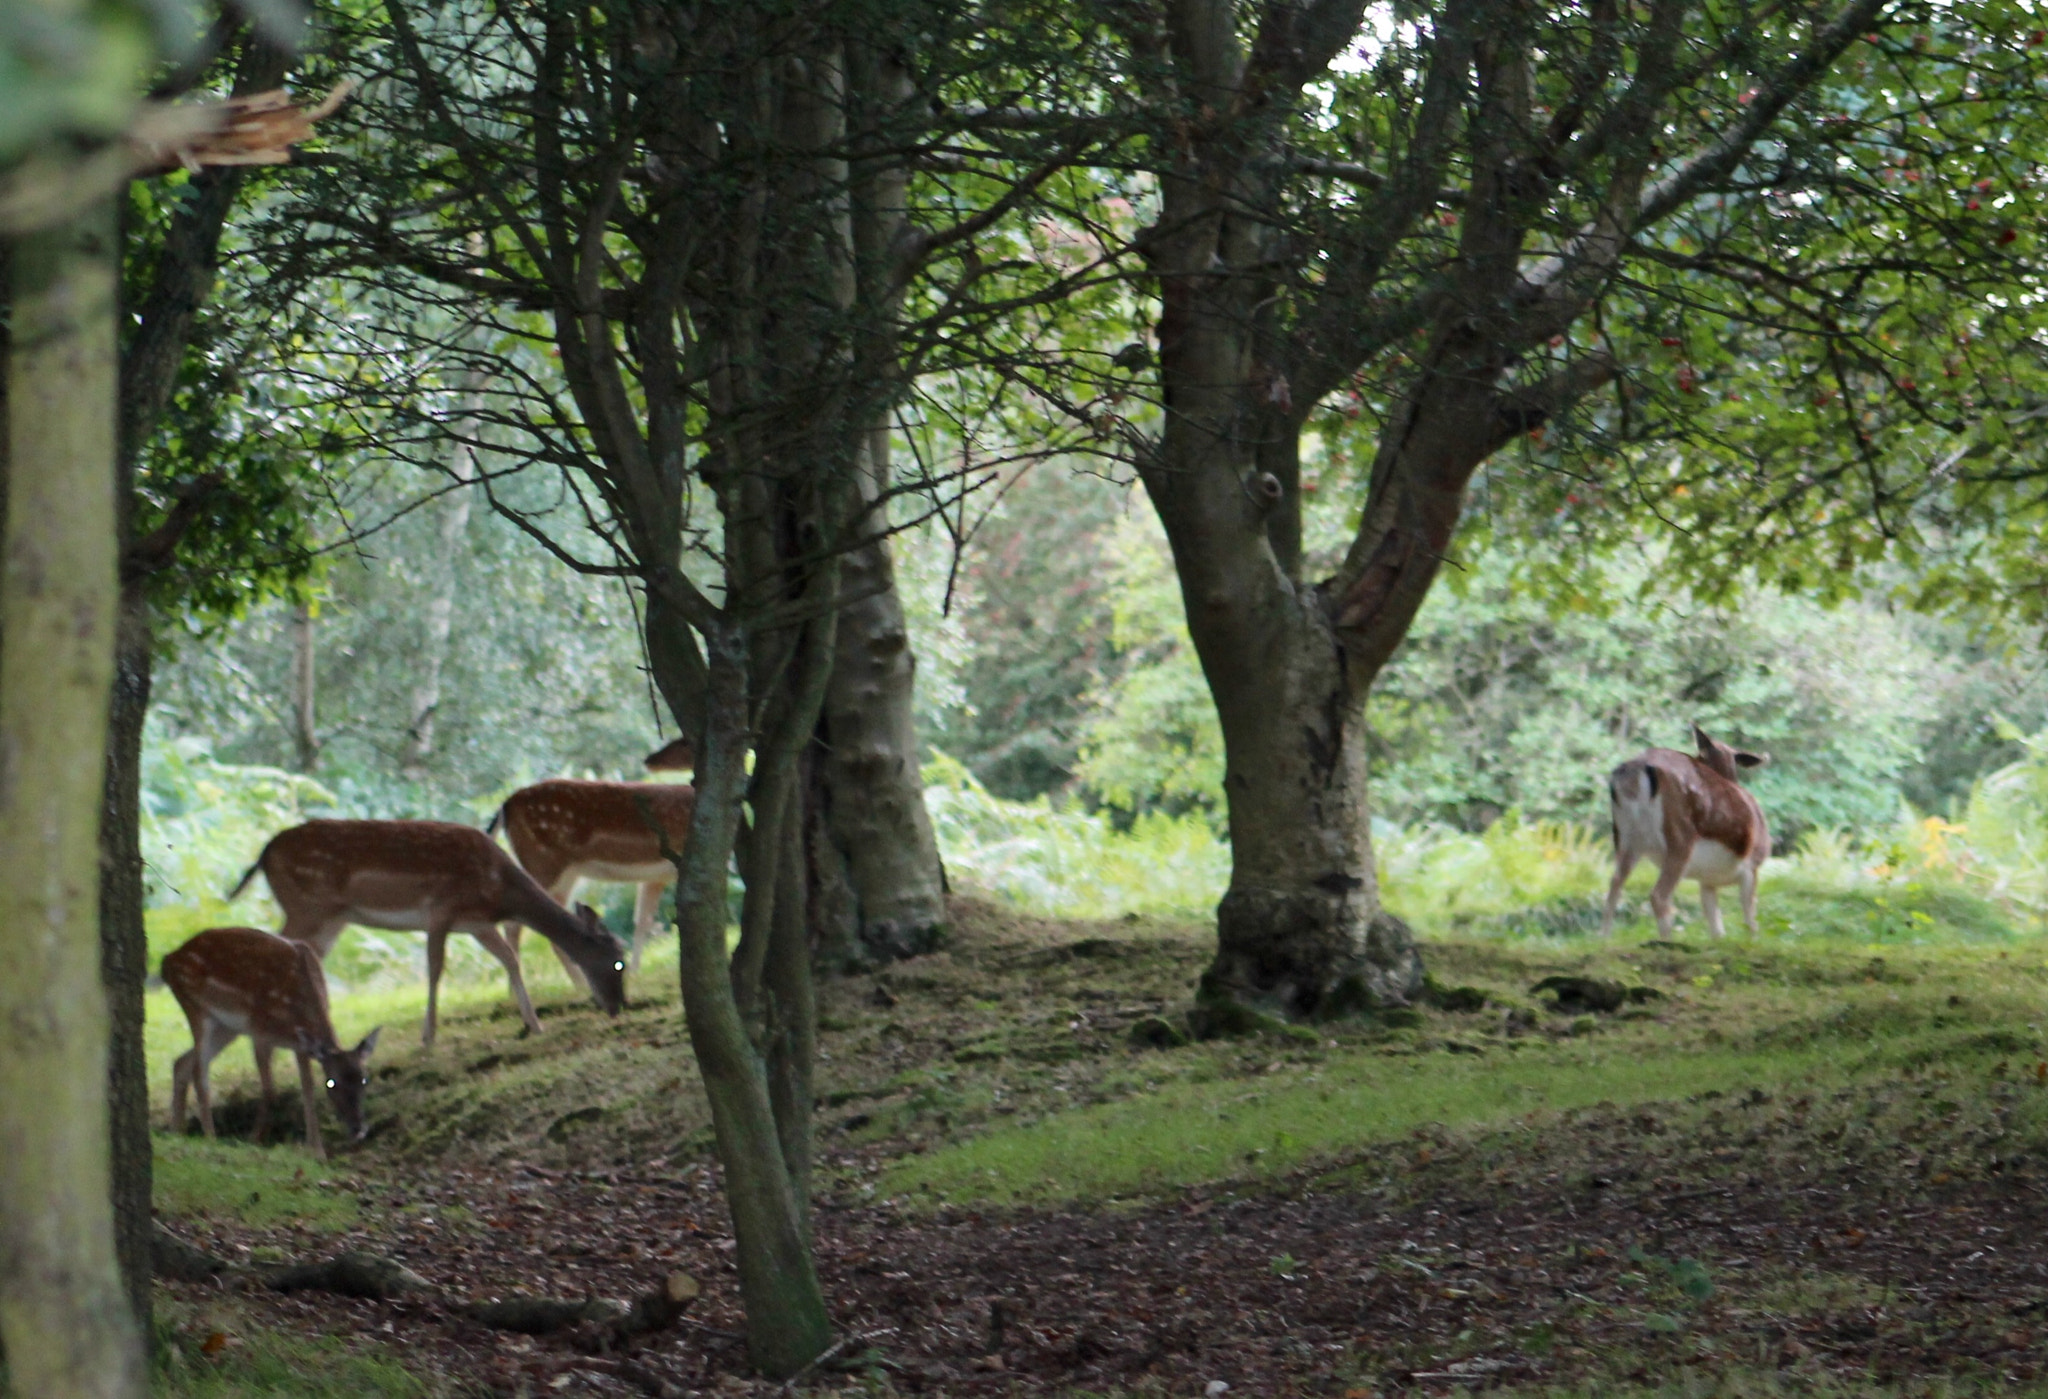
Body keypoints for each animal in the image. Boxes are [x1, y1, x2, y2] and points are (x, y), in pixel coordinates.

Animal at [161, 926, 380, 1159]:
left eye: (364, 1079)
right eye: (331, 1083)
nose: (358, 1129)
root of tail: (167, 961)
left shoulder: (301, 1044)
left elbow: (307, 1088)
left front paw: (317, 1151)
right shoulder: (260, 1030)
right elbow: (270, 1091)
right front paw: (254, 1140)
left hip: (227, 1027)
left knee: (181, 1062)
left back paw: (176, 1132)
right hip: (197, 1008)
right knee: (199, 1073)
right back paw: (210, 1138)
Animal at [228, 819, 627, 1047]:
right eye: (618, 961)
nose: (618, 1007)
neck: (498, 890)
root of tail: (264, 854)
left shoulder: (477, 923)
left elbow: (510, 959)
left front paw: (534, 1025)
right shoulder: (441, 909)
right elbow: (436, 968)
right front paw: (428, 1036)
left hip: (329, 919)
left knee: (305, 959)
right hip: (307, 905)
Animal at [487, 738, 697, 975]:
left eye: (683, 742)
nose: (650, 759)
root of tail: (505, 806)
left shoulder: (656, 876)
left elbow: (642, 920)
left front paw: (635, 973)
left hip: (564, 873)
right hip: (542, 862)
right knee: (516, 923)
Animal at [1601, 723, 1771, 940]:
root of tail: (1635, 770)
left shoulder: (1707, 880)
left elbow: (1716, 928)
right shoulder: (1752, 864)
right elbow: (1750, 920)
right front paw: (1753, 941)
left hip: (1625, 838)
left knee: (1614, 885)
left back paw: (1604, 939)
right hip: (1679, 837)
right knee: (1659, 895)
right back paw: (1666, 941)